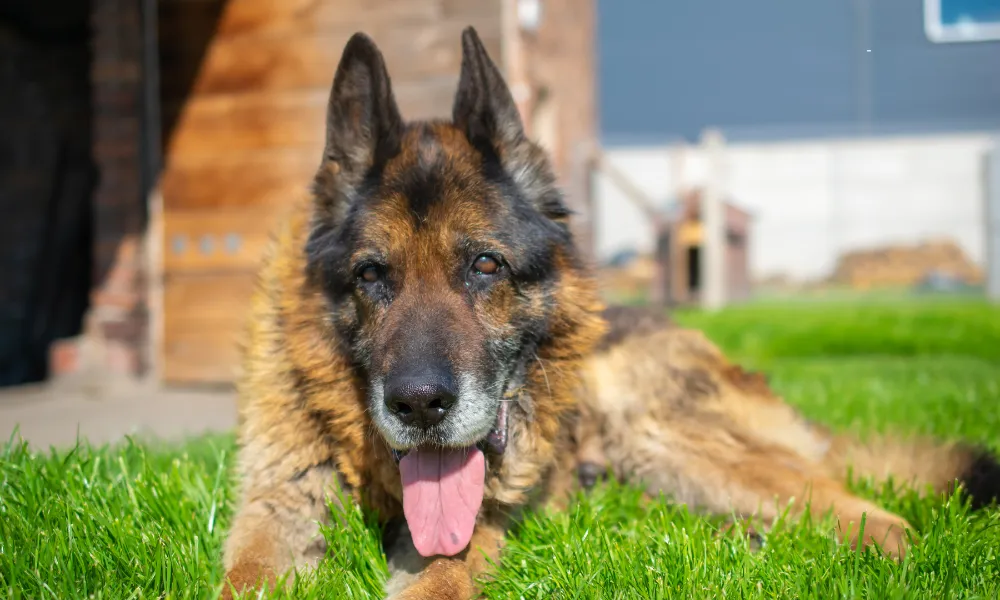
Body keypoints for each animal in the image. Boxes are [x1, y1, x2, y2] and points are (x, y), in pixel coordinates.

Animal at [221, 27, 1000, 596]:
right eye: (371, 275)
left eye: (485, 266)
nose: (418, 404)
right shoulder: (274, 511)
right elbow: (244, 579)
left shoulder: (471, 525)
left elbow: (438, 579)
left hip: (665, 435)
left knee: (875, 519)